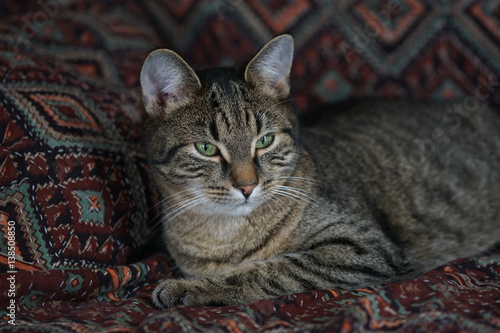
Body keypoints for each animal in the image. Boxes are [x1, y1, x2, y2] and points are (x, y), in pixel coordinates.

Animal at [140, 33, 500, 306]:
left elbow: (269, 270)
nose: (247, 186)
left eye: (265, 140)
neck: (223, 237)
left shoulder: (362, 249)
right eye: (207, 148)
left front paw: (188, 288)